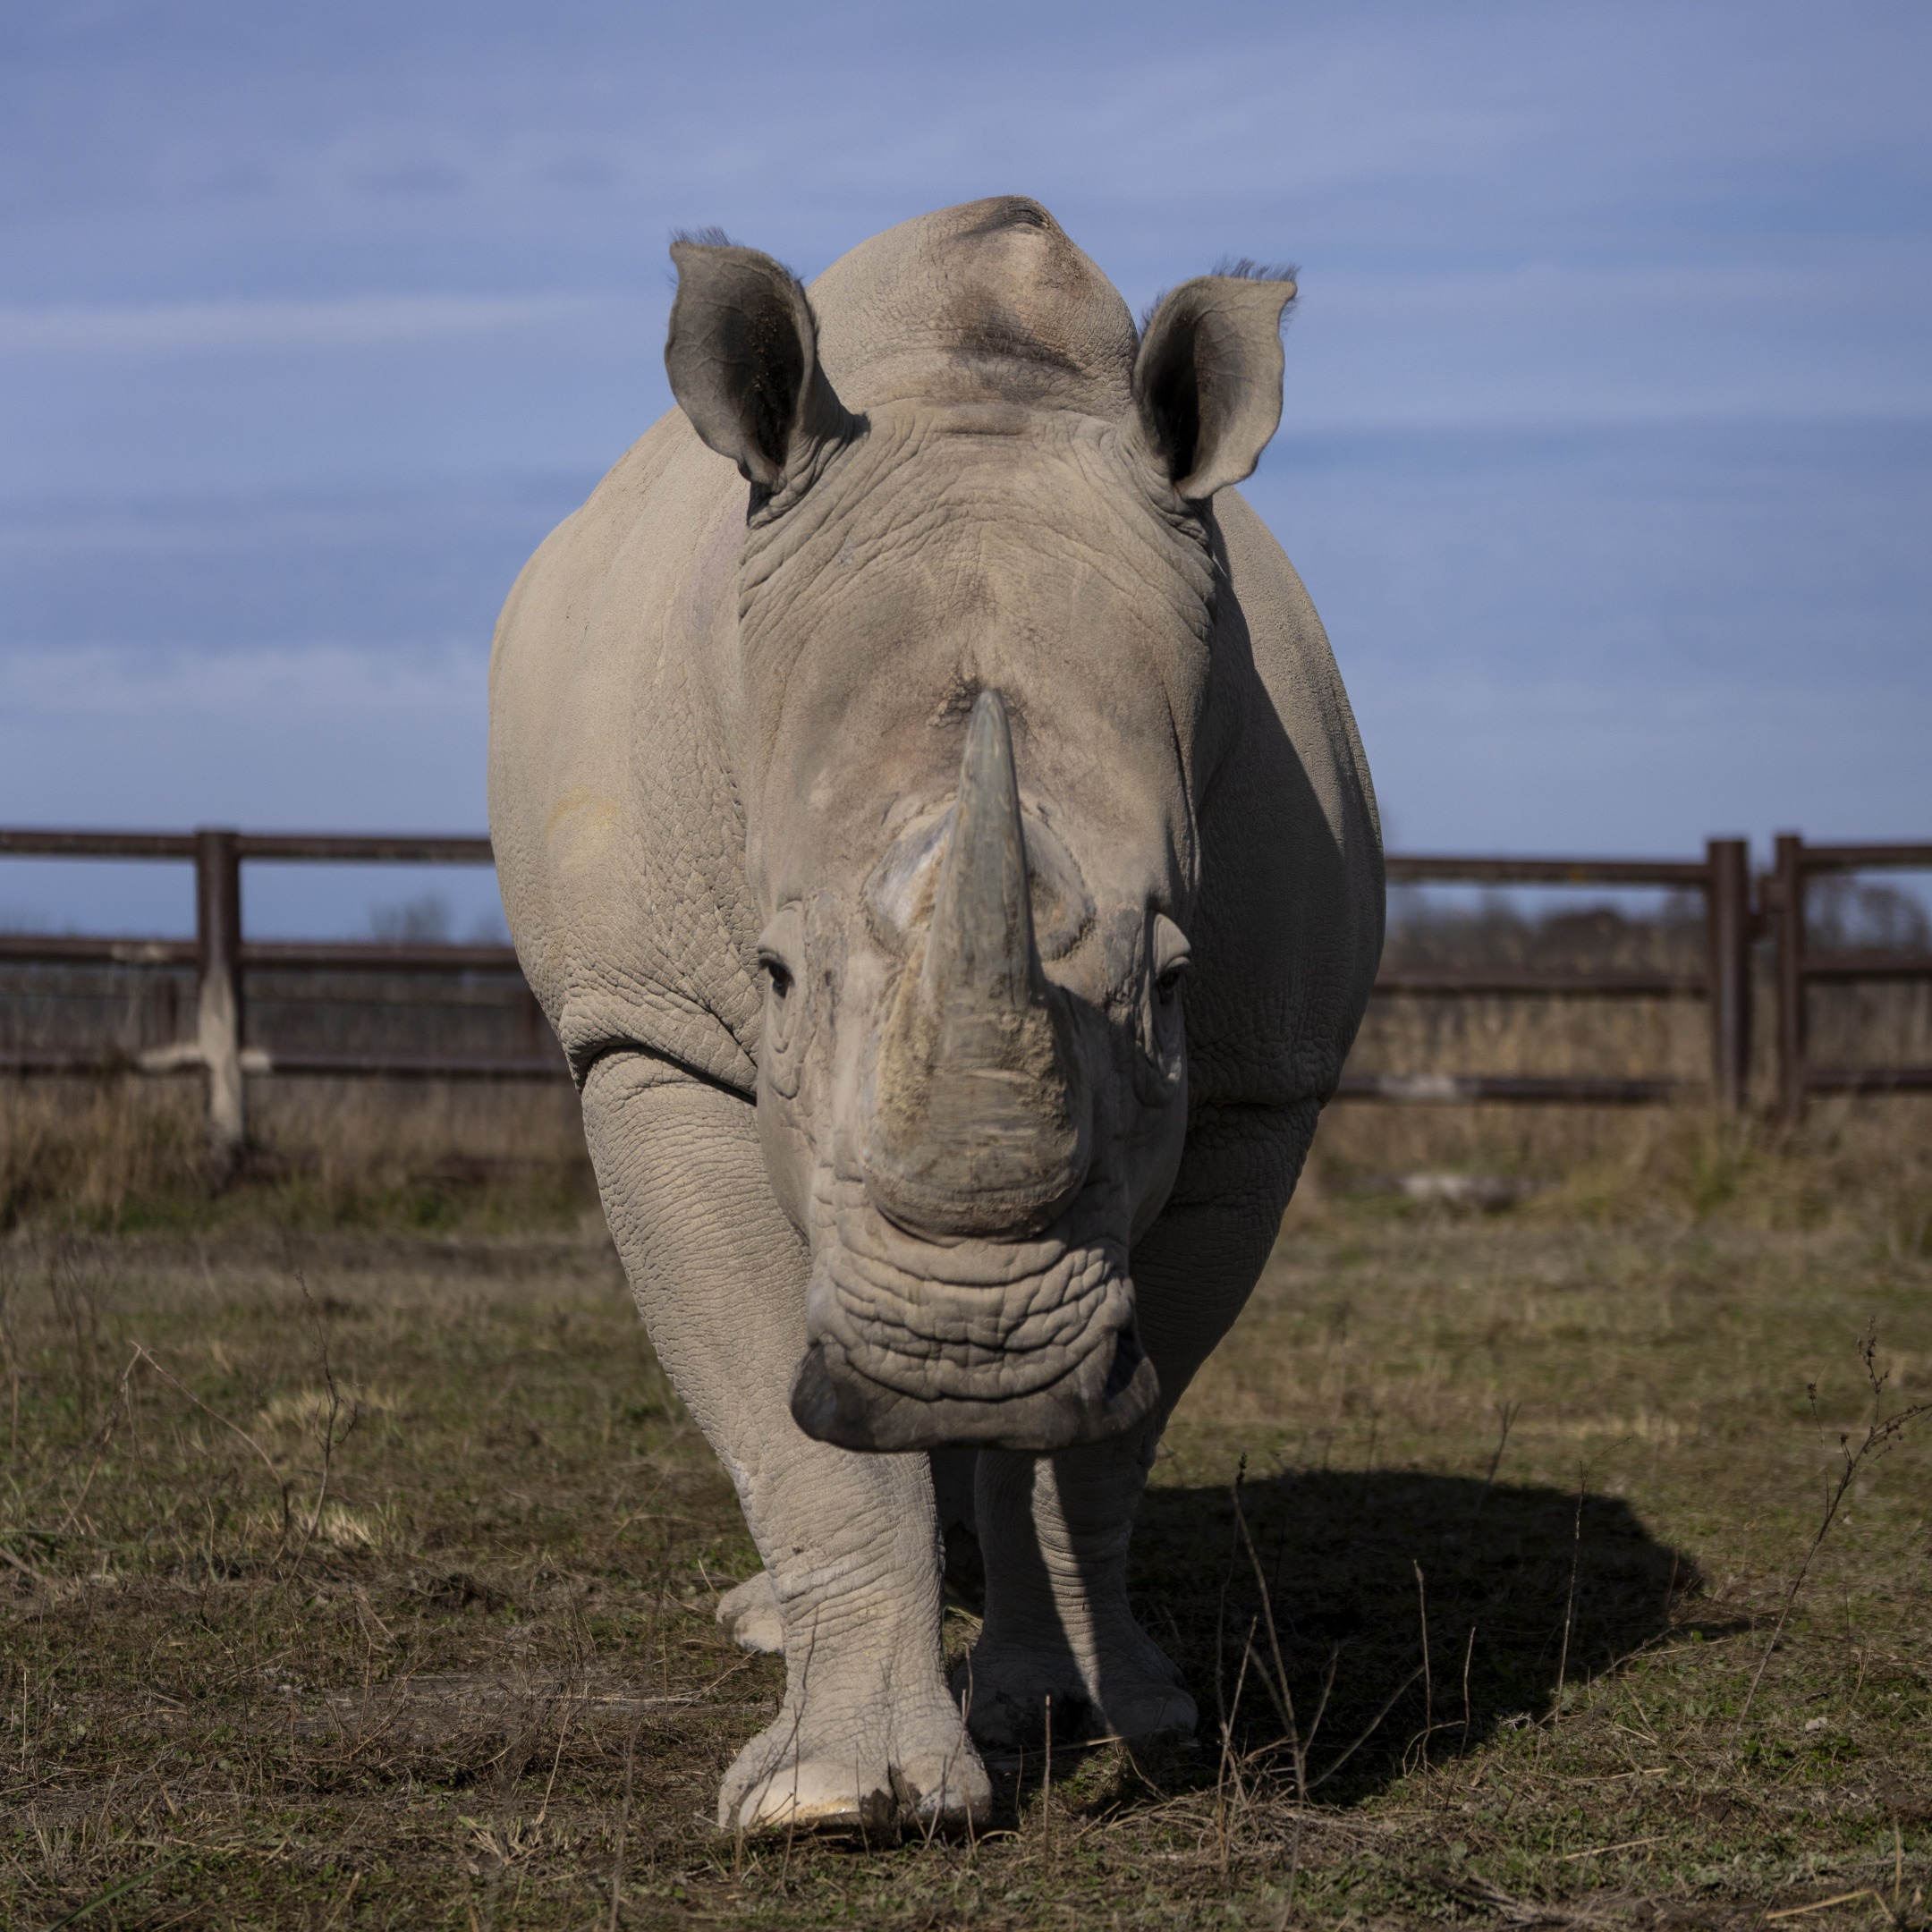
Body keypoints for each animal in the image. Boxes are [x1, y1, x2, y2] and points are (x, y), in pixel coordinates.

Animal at [488, 196, 1382, 1834]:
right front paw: (837, 1805)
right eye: (771, 977)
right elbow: (779, 1407)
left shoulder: (1255, 1082)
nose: (968, 1352)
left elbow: (1106, 1445)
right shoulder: (653, 1030)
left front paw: (1100, 1720)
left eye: (1172, 984)